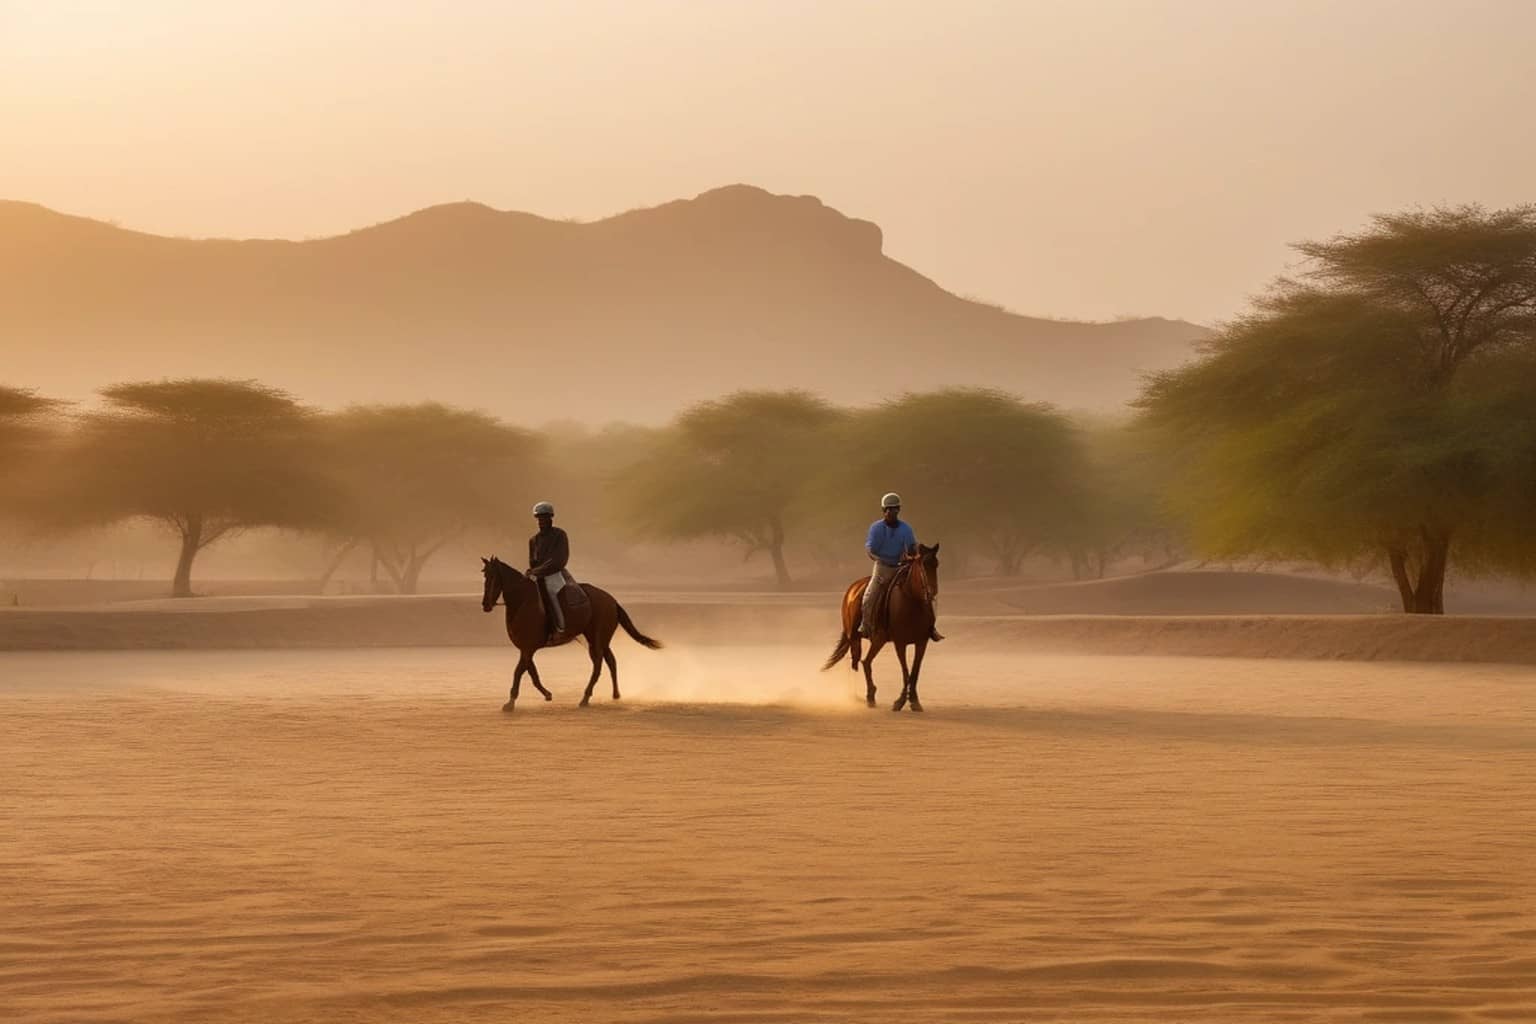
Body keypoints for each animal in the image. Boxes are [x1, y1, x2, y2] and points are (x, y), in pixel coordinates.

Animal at [480, 556, 662, 711]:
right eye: (484, 576)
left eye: (492, 577)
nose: (486, 605)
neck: (523, 602)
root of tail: (612, 600)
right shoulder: (526, 648)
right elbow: (531, 671)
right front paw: (547, 694)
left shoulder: (528, 648)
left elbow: (519, 671)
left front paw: (510, 703)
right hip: (601, 640)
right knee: (611, 661)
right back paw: (615, 695)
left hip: (596, 639)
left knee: (598, 664)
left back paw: (585, 698)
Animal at [821, 543, 940, 712]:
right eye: (922, 565)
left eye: (936, 564)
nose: (931, 592)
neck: (912, 602)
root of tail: (852, 589)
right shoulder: (900, 643)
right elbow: (905, 670)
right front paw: (899, 702)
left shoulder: (922, 642)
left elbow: (914, 672)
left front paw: (915, 701)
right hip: (856, 637)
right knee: (857, 661)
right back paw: (860, 697)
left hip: (878, 640)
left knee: (865, 662)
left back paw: (869, 696)